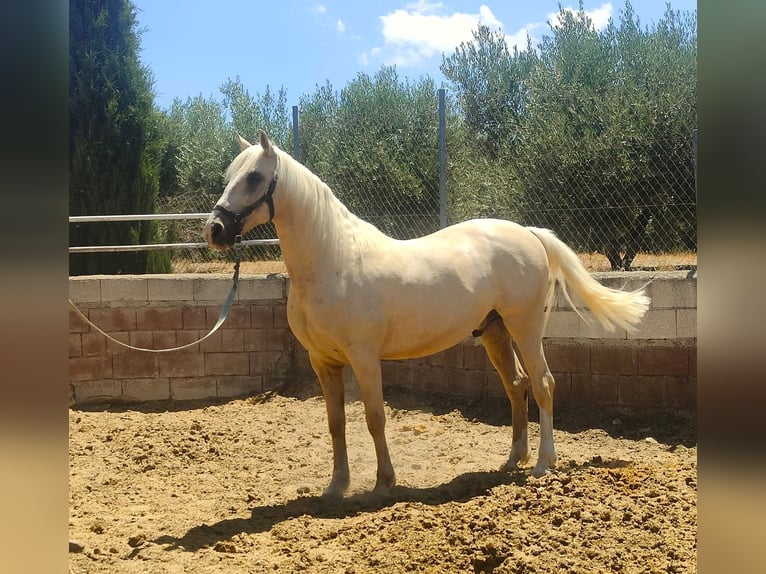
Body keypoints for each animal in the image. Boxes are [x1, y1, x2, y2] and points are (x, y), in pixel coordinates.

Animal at [202, 130, 648, 500]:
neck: (333, 261)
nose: (215, 230)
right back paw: (513, 459)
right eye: (230, 175)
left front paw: (384, 483)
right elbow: (336, 423)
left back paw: (542, 464)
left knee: (542, 384)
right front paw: (336, 487)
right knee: (516, 385)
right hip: (495, 334)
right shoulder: (322, 361)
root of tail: (527, 232)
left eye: (255, 177)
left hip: (525, 329)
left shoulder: (364, 359)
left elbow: (375, 418)